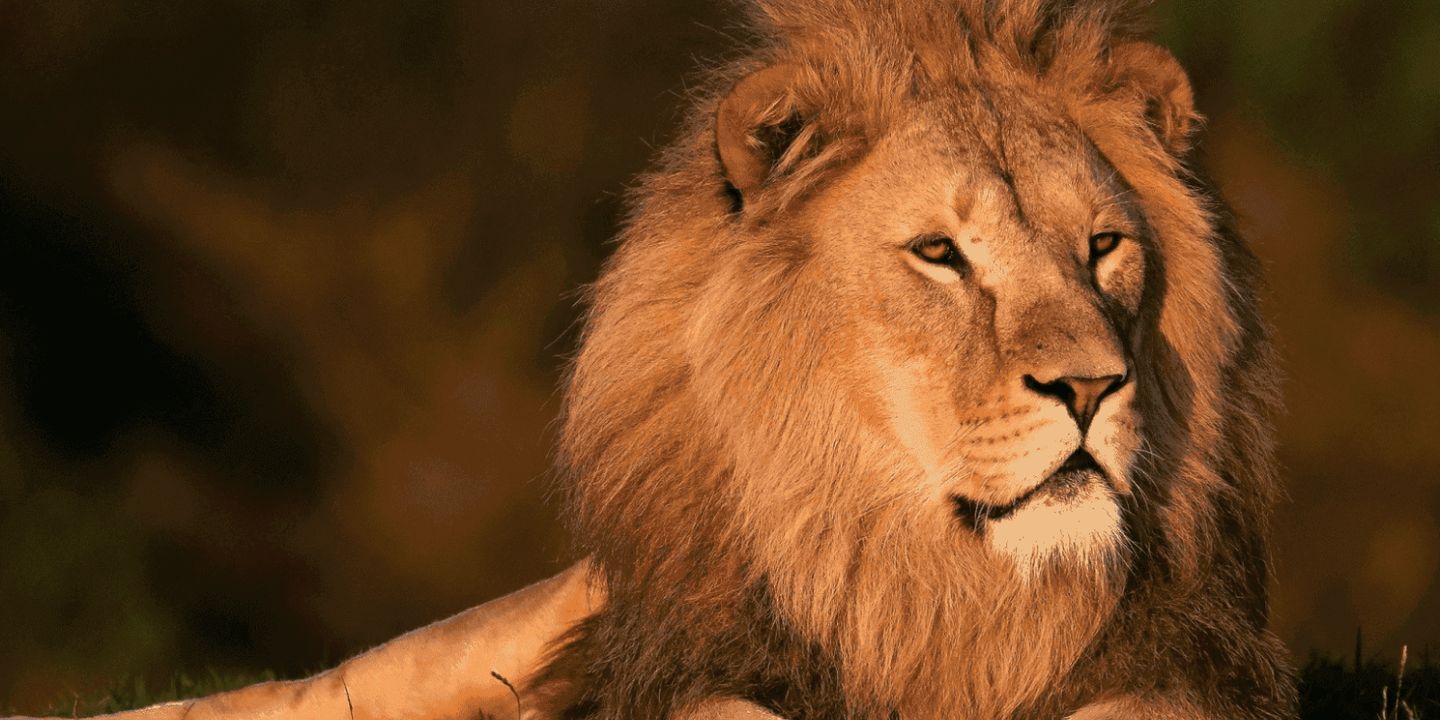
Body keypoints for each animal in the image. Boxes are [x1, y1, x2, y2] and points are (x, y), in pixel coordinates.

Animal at [6, 1, 1297, 719]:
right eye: (941, 252)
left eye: (1104, 248)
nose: (1091, 386)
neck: (934, 588)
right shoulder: (688, 660)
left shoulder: (1192, 665)